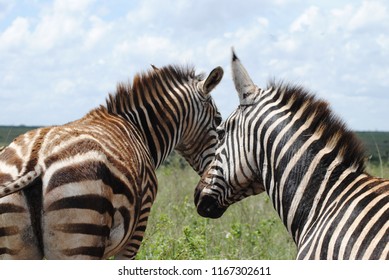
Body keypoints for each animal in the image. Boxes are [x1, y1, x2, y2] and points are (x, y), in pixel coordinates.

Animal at [0, 64, 223, 260]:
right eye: (219, 121)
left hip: (16, 248)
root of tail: (36, 160)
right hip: (81, 234)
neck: (138, 129)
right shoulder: (138, 227)